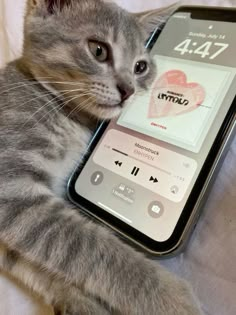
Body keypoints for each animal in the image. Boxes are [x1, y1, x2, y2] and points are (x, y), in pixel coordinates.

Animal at [0, 0, 203, 315]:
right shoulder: (13, 190)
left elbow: (28, 263)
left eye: (140, 67)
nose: (129, 89)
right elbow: (90, 246)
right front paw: (172, 298)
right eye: (98, 50)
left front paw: (76, 300)